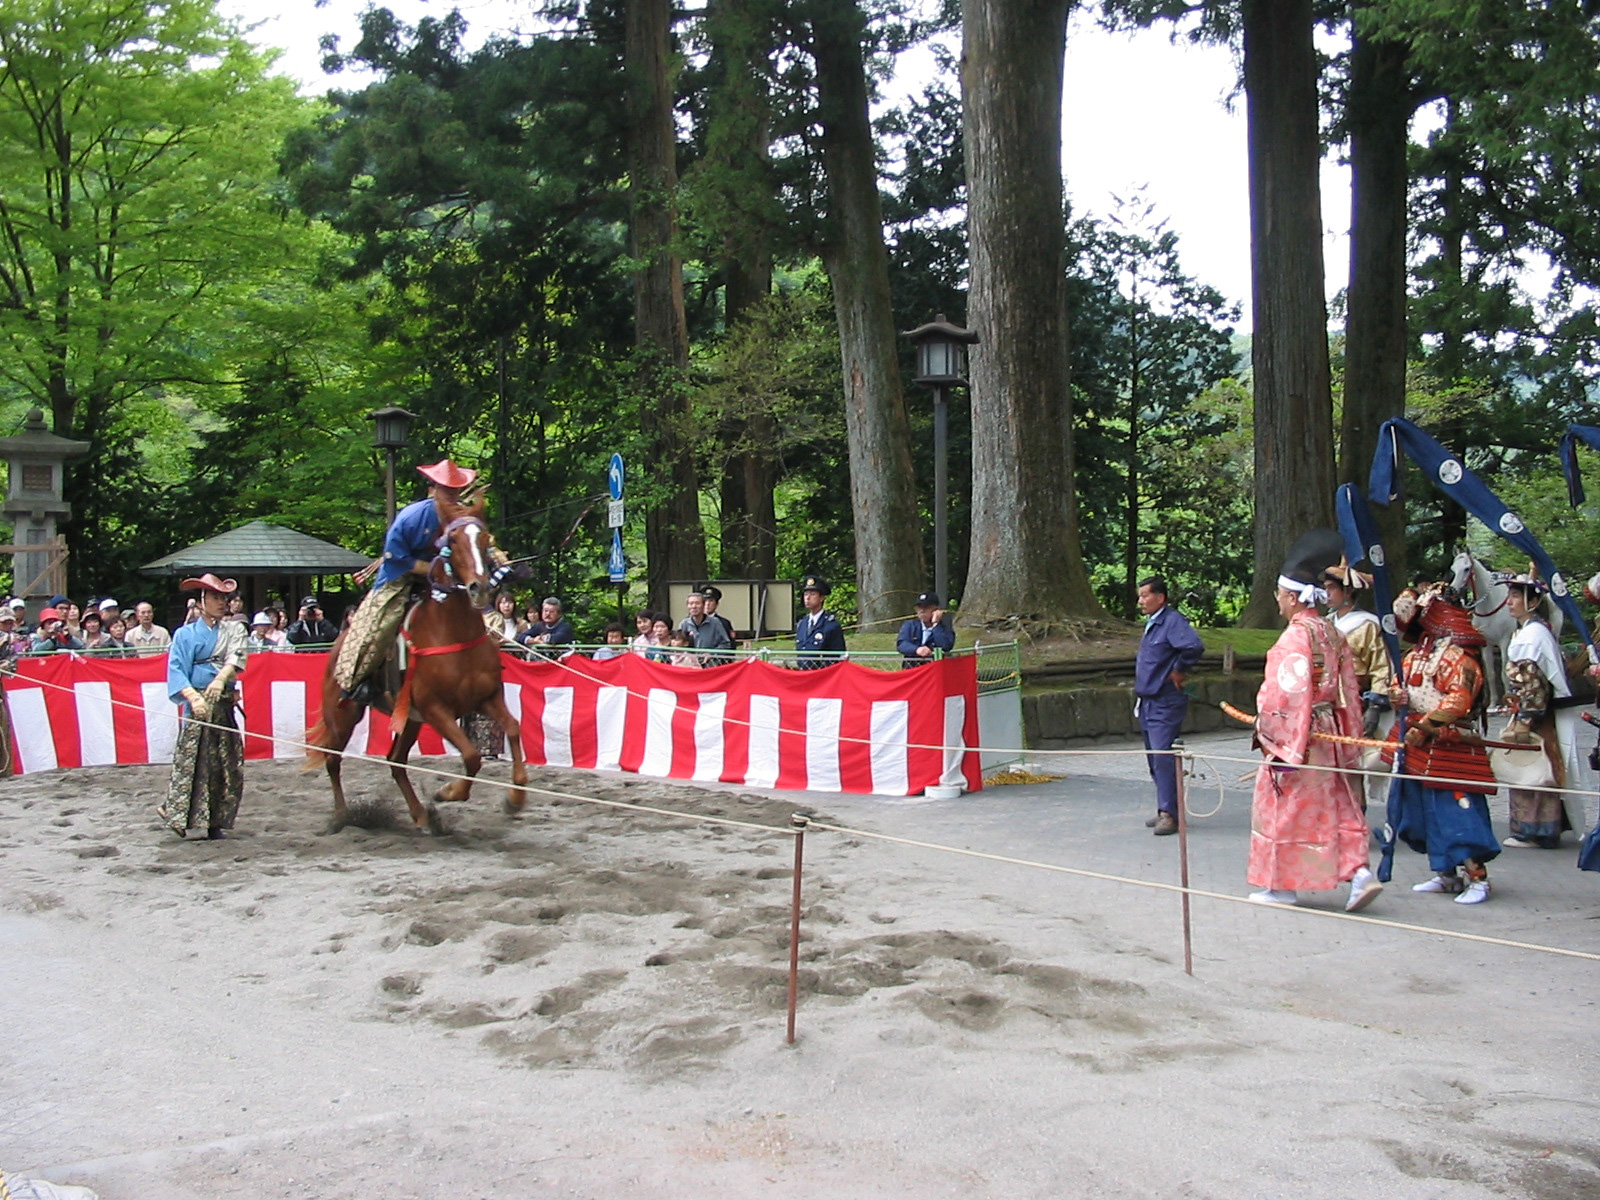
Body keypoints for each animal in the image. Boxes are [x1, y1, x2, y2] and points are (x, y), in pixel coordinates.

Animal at [300, 499, 524, 838]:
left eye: (485, 538)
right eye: (452, 541)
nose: (480, 587)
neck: (454, 633)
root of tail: (336, 648)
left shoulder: (486, 699)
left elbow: (512, 729)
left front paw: (515, 798)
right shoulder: (436, 709)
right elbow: (472, 756)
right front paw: (447, 792)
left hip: (408, 719)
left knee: (395, 761)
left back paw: (421, 816)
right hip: (344, 713)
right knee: (332, 760)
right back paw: (341, 817)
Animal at [1446, 550, 1568, 710]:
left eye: (1466, 568)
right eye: (1453, 569)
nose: (1452, 592)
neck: (1489, 605)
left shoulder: (1504, 642)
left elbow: (1504, 673)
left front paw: (1507, 703)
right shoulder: (1487, 645)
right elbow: (1491, 674)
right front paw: (1492, 704)